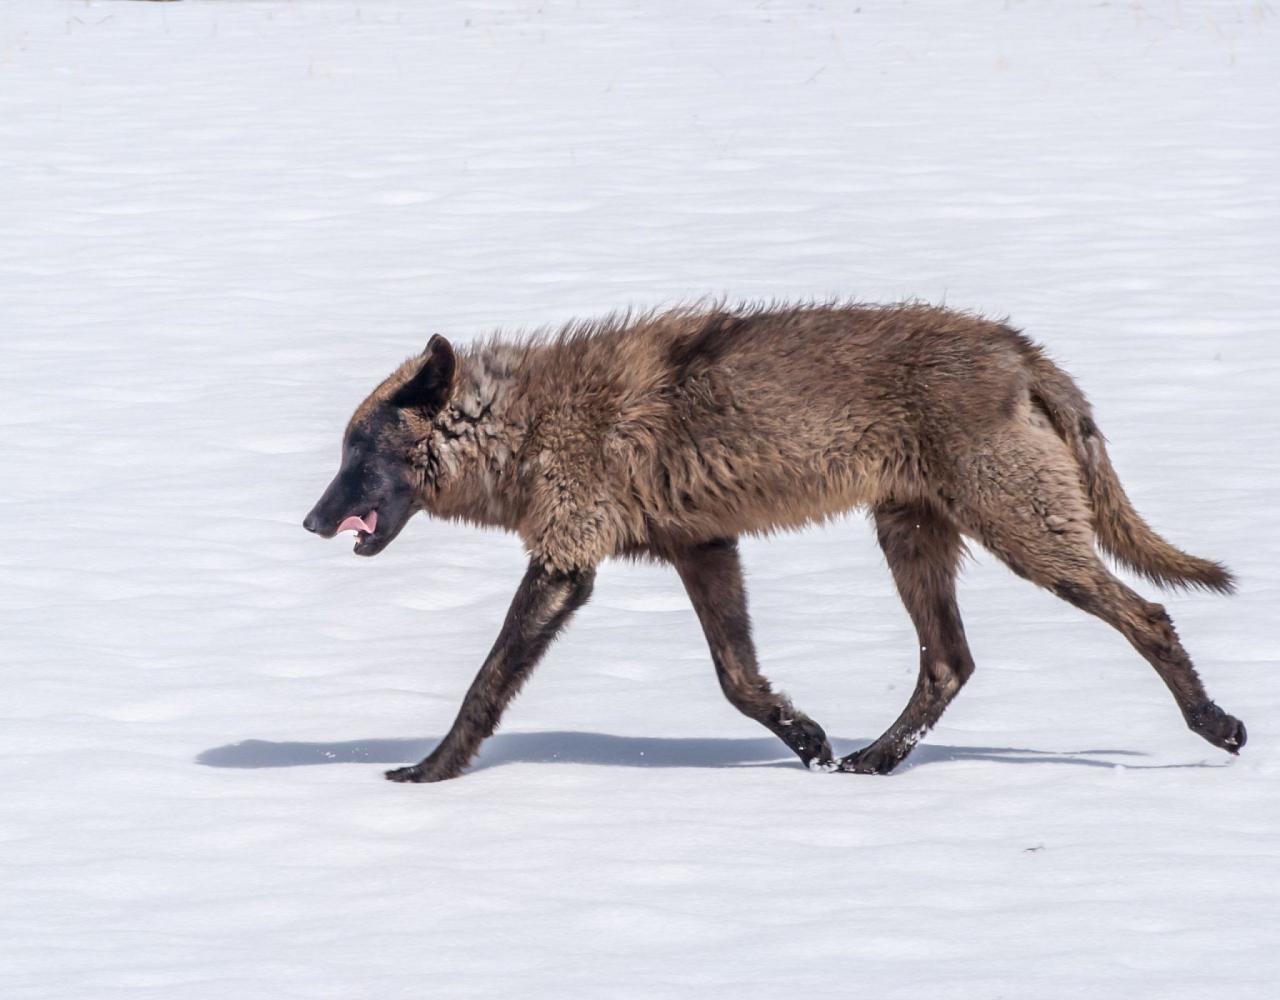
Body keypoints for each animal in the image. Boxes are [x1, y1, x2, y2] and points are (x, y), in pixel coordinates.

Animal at [299, 300, 1239, 783]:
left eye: (355, 454)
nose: (308, 522)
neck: (521, 427)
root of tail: (1021, 350)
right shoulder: (703, 550)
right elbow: (739, 681)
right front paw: (807, 739)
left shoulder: (568, 564)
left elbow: (485, 684)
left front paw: (431, 773)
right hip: (913, 537)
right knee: (950, 663)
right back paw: (872, 760)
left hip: (1022, 538)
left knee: (1146, 615)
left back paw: (1217, 727)